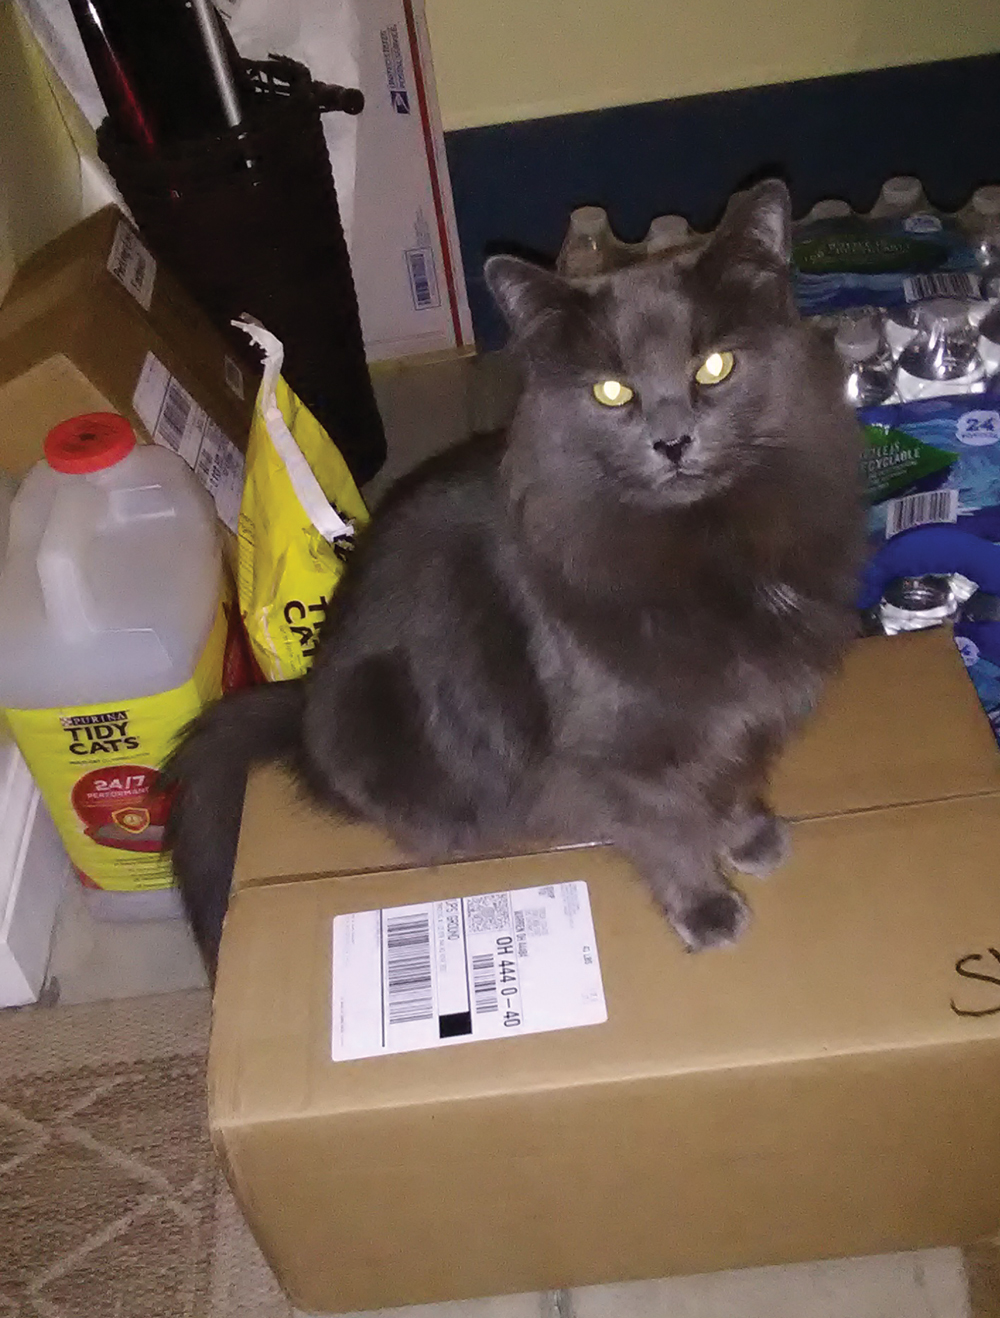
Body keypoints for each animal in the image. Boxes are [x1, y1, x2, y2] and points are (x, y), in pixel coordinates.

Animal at [166, 179, 863, 973]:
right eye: (613, 392)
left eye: (714, 367)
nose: (673, 441)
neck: (707, 548)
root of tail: (304, 703)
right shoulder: (621, 746)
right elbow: (667, 827)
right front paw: (705, 908)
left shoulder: (746, 710)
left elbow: (732, 779)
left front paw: (749, 837)